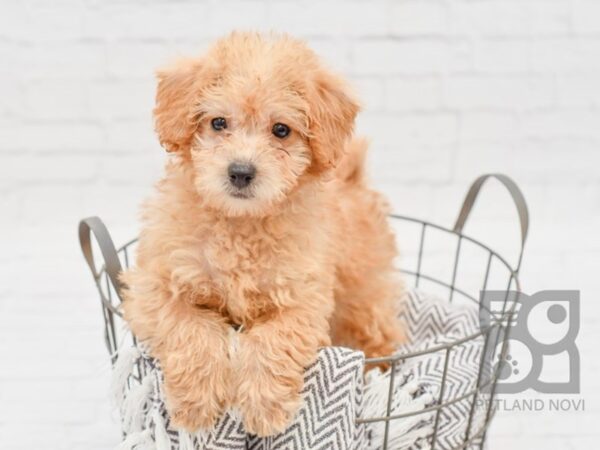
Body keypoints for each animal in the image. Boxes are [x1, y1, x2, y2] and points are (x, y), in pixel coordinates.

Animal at [120, 30, 404, 436]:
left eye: (281, 130)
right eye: (218, 122)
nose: (240, 172)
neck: (240, 224)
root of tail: (353, 180)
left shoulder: (304, 300)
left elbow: (273, 341)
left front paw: (264, 408)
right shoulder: (154, 288)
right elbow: (189, 329)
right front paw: (196, 404)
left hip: (365, 296)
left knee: (380, 334)